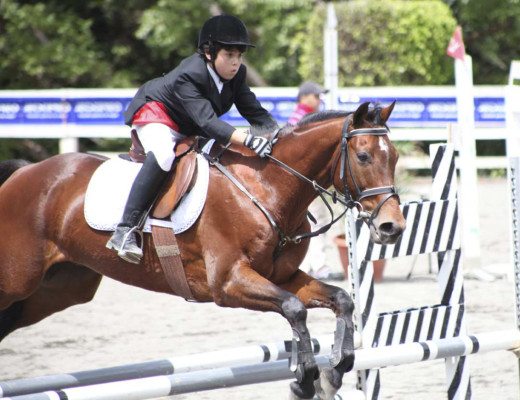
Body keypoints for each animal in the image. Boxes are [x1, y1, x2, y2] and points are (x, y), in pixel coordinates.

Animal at [0, 101, 406, 398]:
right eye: (364, 157)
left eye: (396, 157)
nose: (393, 227)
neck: (266, 187)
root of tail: (24, 172)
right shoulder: (228, 284)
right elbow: (294, 309)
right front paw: (305, 378)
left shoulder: (283, 277)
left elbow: (341, 300)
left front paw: (334, 371)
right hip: (19, 278)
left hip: (60, 289)